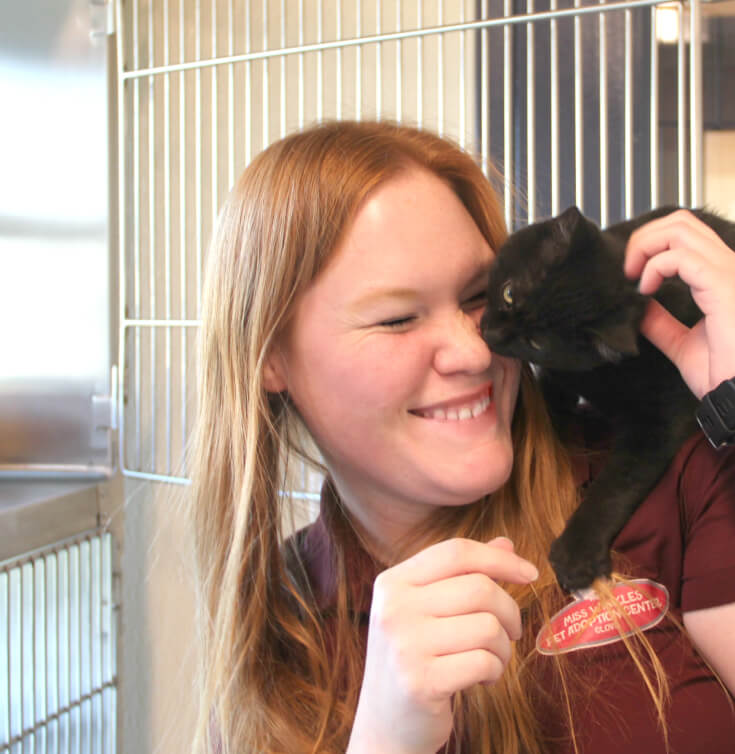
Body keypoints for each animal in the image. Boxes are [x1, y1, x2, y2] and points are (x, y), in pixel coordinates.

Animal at [484, 206, 735, 592]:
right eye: (510, 293)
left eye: (536, 342)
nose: (489, 334)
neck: (598, 374)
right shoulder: (558, 377)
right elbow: (553, 408)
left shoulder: (661, 415)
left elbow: (617, 483)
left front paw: (576, 555)